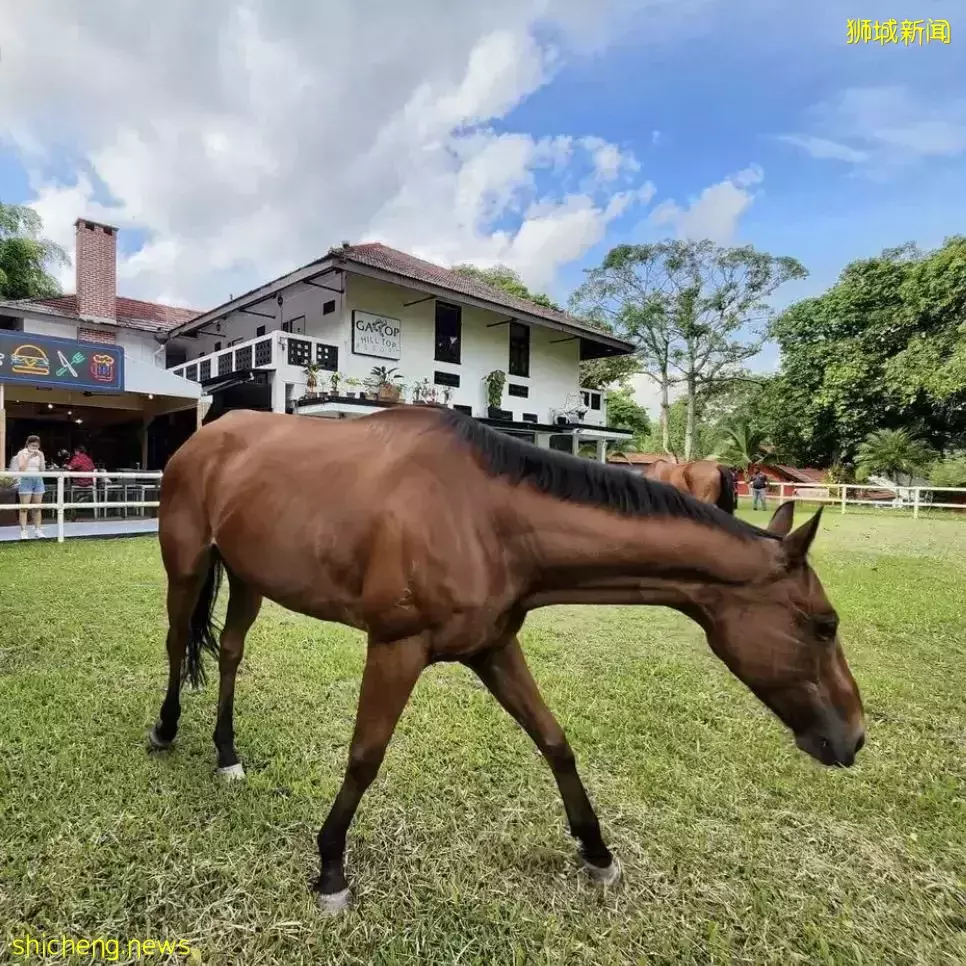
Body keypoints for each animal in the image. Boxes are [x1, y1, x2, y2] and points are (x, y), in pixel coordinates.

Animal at [149, 406, 868, 916]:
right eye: (823, 625)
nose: (854, 738)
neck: (488, 518)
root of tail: (206, 436)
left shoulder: (494, 649)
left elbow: (555, 741)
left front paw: (596, 850)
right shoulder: (396, 648)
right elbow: (365, 756)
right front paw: (331, 868)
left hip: (249, 578)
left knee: (231, 652)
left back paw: (226, 751)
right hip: (186, 565)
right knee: (176, 643)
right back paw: (165, 730)